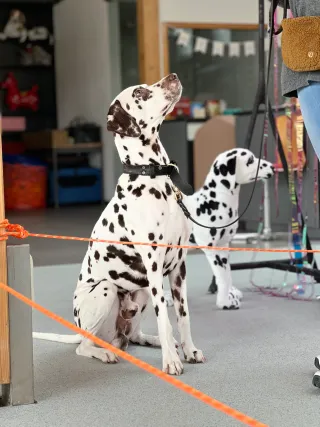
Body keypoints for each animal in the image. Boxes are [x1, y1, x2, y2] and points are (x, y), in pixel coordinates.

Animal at [32, 74, 204, 378]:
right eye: (139, 93)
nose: (172, 77)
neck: (154, 177)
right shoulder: (154, 264)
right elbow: (165, 317)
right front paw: (171, 361)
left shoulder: (179, 266)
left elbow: (182, 316)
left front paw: (188, 349)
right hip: (106, 290)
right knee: (84, 346)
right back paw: (105, 353)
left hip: (142, 291)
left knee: (133, 336)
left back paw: (156, 341)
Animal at [165, 150, 276, 310]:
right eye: (250, 160)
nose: (273, 167)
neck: (216, 200)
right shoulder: (212, 250)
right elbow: (222, 277)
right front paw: (224, 302)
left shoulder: (224, 247)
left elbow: (227, 274)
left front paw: (230, 294)